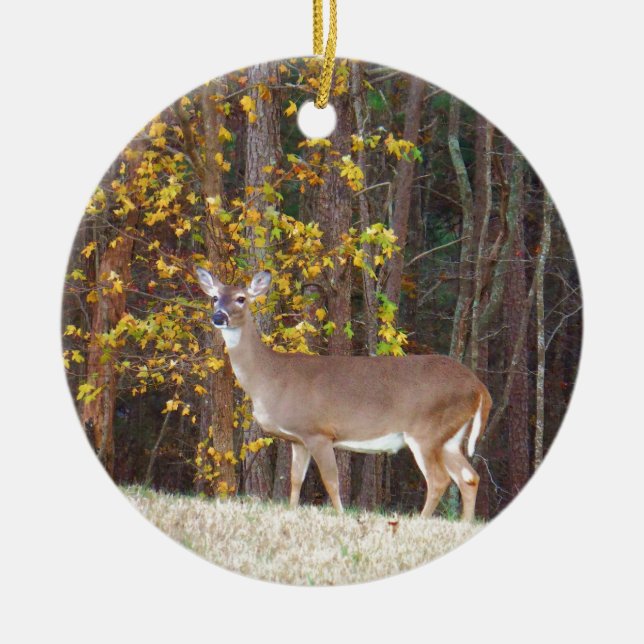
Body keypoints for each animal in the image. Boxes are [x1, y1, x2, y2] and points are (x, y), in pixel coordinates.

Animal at [196, 268, 492, 521]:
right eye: (214, 297)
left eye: (241, 298)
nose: (219, 317)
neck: (270, 377)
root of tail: (479, 387)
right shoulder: (298, 438)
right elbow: (295, 480)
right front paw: (292, 511)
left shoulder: (319, 432)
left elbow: (331, 481)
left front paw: (339, 515)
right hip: (449, 437)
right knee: (469, 477)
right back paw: (465, 523)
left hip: (426, 431)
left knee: (440, 480)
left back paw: (421, 521)